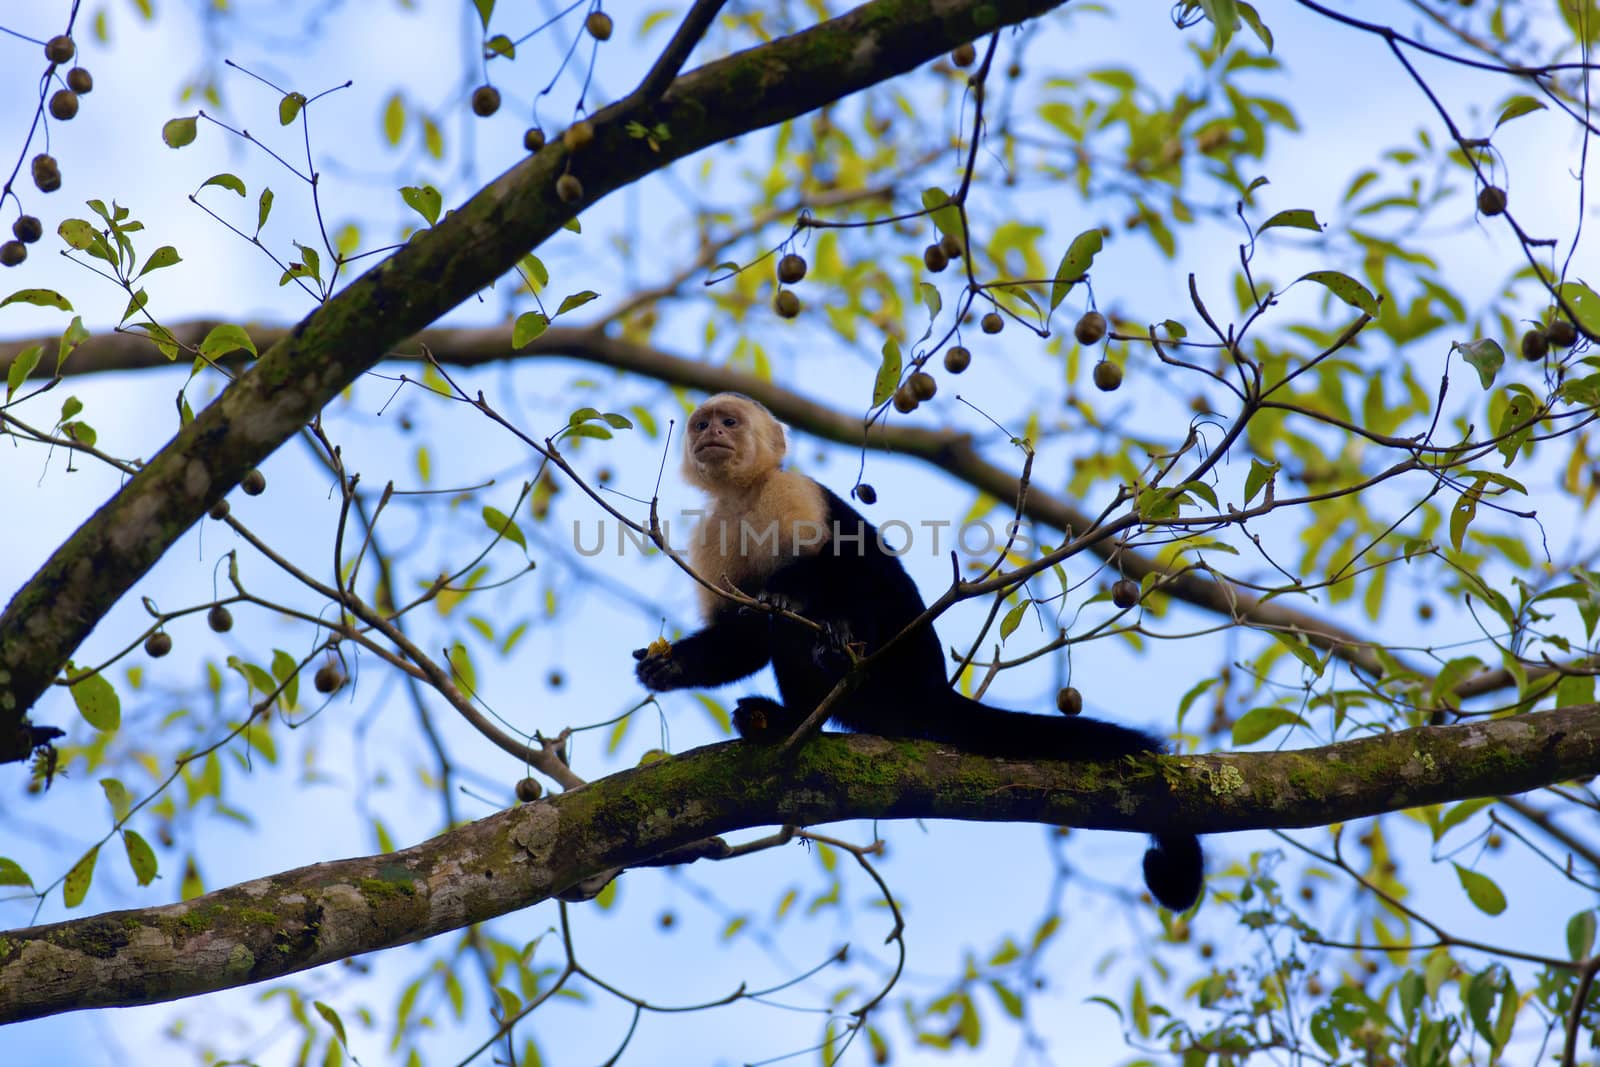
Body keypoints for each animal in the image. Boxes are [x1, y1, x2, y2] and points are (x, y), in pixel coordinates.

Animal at [630, 396, 1203, 915]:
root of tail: (932, 690)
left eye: (729, 422)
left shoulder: (793, 492)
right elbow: (741, 637)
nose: (710, 434)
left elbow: (848, 562)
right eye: (702, 424)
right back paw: (780, 719)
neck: (744, 497)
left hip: (893, 679)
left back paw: (812, 686)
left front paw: (801, 604)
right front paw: (671, 666)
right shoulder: (711, 531)